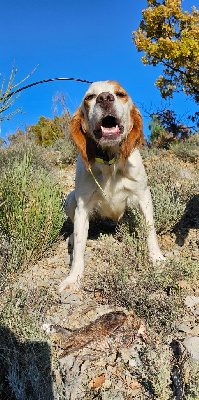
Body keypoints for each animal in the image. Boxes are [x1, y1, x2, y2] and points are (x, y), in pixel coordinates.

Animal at [58, 79, 164, 292]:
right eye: (89, 97)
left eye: (121, 94)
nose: (105, 98)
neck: (109, 162)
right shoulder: (82, 207)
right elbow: (79, 246)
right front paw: (73, 278)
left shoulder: (143, 196)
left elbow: (150, 231)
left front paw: (156, 259)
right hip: (71, 200)